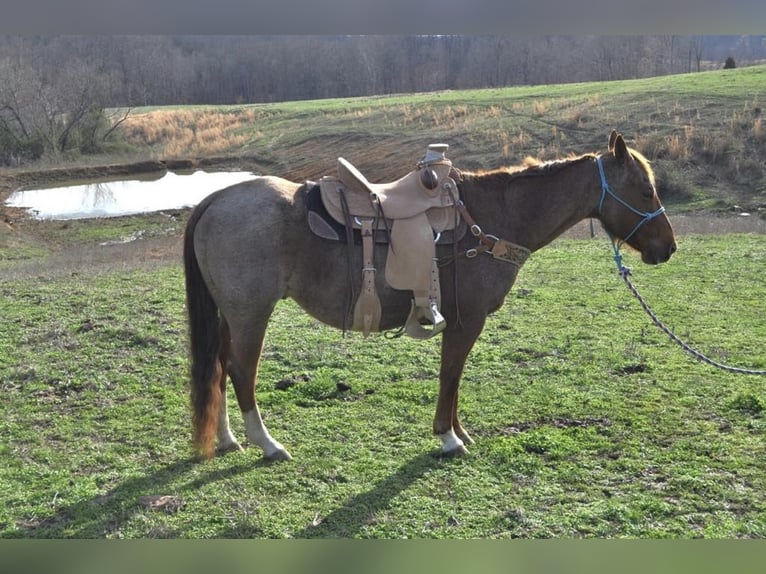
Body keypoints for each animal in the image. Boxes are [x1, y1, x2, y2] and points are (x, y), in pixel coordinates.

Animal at [184, 132, 680, 464]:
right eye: (645, 189)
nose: (668, 247)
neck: (490, 219)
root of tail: (214, 200)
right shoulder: (467, 319)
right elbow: (451, 374)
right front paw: (448, 437)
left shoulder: (459, 319)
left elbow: (453, 377)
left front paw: (459, 431)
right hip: (252, 313)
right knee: (241, 370)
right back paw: (267, 444)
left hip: (231, 314)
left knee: (220, 365)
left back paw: (227, 438)